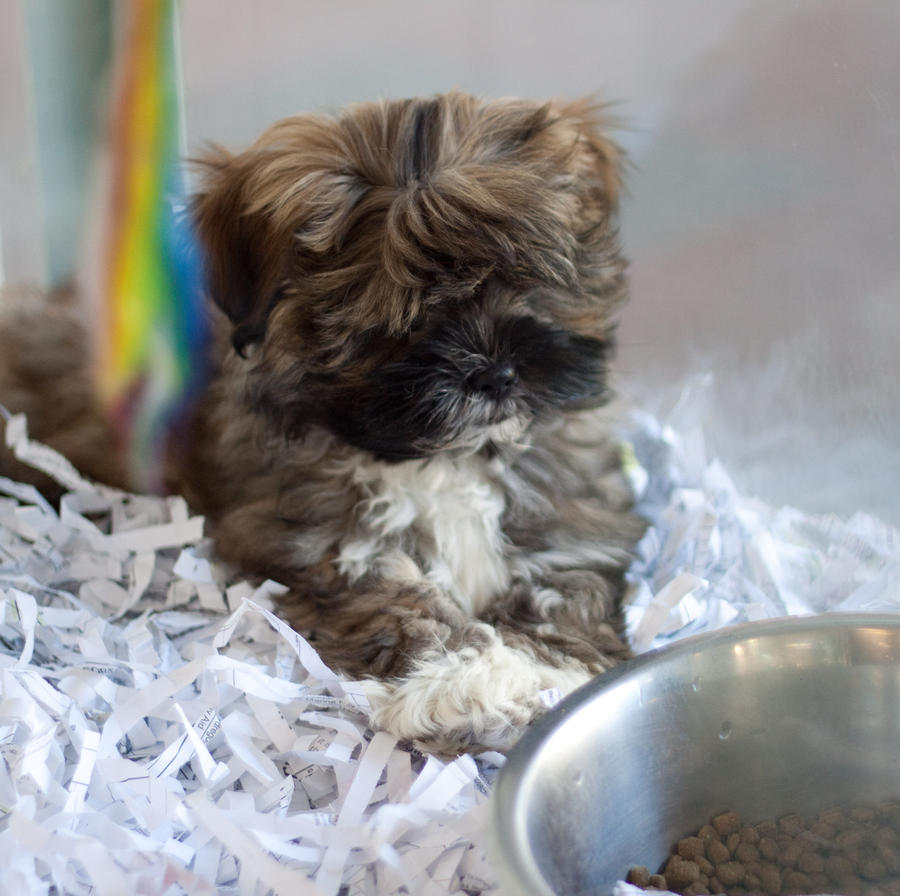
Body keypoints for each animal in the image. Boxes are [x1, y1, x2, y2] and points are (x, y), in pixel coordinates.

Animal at [0, 91, 648, 752]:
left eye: (525, 283)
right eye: (402, 318)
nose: (493, 373)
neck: (444, 461)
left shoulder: (572, 526)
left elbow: (566, 590)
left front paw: (532, 672)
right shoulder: (318, 546)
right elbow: (396, 597)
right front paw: (457, 682)